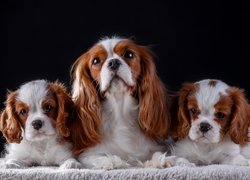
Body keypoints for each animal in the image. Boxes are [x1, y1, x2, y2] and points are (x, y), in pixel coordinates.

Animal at [70, 37, 189, 170]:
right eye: (96, 61)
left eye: (129, 54)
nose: (113, 62)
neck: (120, 112)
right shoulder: (87, 154)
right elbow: (97, 158)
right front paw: (111, 161)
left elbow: (160, 153)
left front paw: (170, 160)